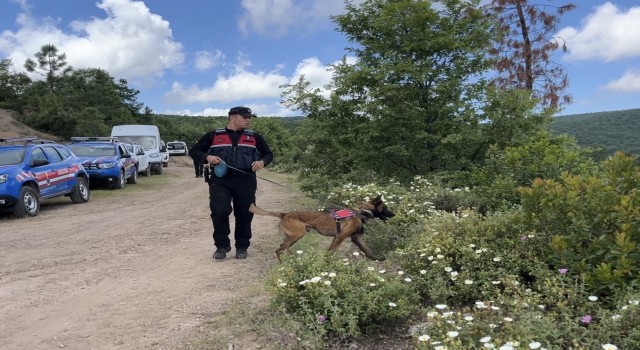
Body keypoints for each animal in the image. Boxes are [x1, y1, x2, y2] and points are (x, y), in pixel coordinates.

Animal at [250, 196, 396, 262]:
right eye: (385, 208)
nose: (394, 214)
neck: (360, 212)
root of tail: (285, 214)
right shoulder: (340, 237)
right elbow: (331, 252)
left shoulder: (356, 238)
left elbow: (367, 250)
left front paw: (377, 259)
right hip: (298, 234)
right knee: (279, 249)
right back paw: (284, 264)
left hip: (293, 236)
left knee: (284, 247)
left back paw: (293, 261)